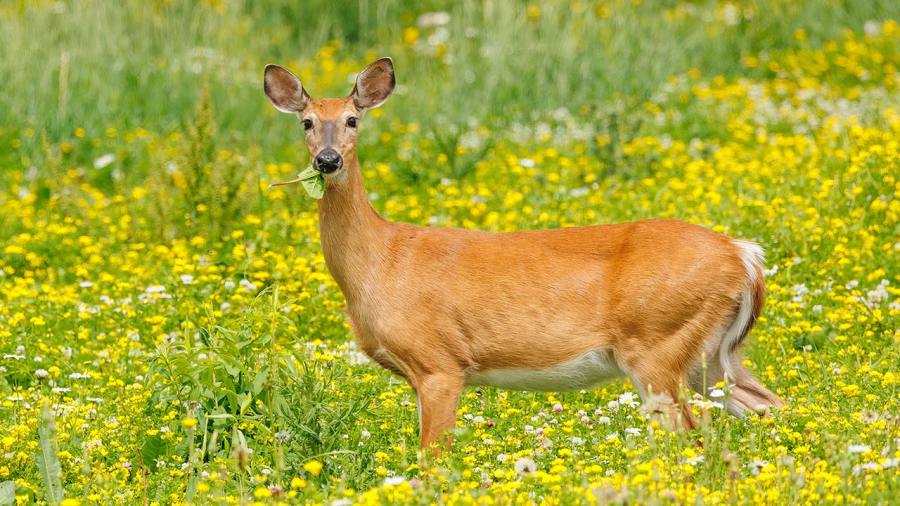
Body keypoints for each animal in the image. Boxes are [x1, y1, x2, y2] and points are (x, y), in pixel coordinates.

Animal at [263, 57, 786, 451]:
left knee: (692, 437)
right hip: (711, 355)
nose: (327, 160)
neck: (381, 261)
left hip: (658, 341)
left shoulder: (440, 362)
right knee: (770, 405)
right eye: (307, 123)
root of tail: (744, 254)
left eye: (352, 120)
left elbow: (432, 461)